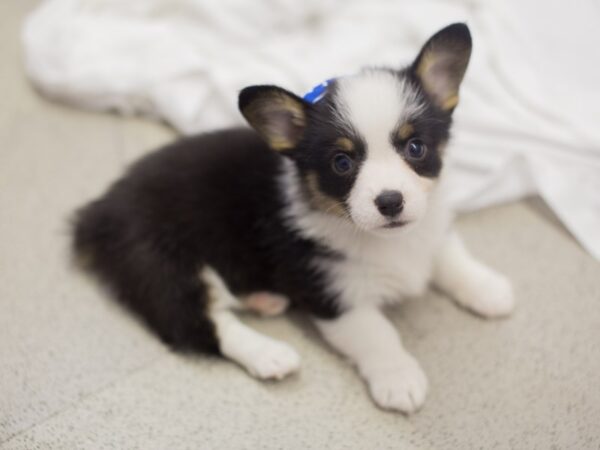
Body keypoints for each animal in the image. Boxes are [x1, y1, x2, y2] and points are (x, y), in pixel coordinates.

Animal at [74, 22, 516, 414]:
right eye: (341, 162)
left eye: (416, 147)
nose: (390, 202)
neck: (388, 240)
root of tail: (100, 208)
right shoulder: (333, 293)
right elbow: (378, 334)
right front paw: (399, 379)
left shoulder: (430, 230)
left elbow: (450, 256)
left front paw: (489, 289)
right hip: (163, 264)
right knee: (200, 322)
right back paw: (268, 354)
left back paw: (263, 299)